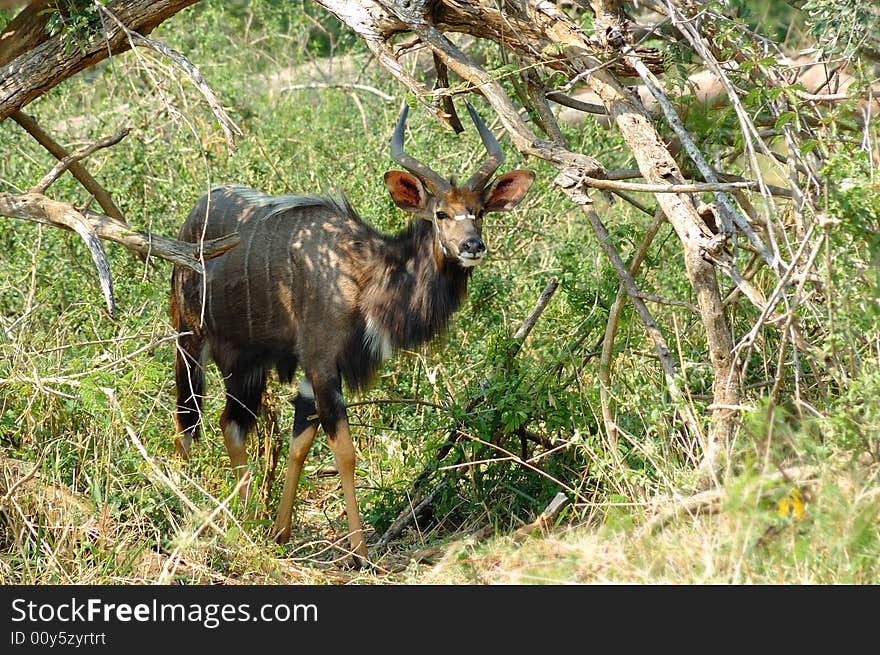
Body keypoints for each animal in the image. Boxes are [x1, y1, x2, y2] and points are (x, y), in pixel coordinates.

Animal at [169, 104, 532, 564]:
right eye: (440, 214)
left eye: (479, 211)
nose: (472, 246)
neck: (362, 273)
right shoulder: (323, 362)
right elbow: (344, 451)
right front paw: (359, 552)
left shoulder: (316, 372)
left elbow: (300, 443)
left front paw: (281, 533)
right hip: (189, 336)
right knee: (187, 420)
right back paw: (182, 510)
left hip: (246, 363)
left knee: (229, 423)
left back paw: (247, 521)